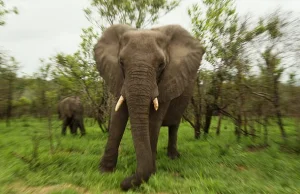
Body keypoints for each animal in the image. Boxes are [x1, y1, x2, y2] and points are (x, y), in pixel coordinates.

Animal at [94, 23, 205, 189]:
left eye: (161, 65)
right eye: (121, 62)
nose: (123, 182)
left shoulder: (168, 80)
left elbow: (154, 120)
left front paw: (151, 174)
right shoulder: (118, 78)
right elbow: (117, 118)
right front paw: (104, 172)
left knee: (174, 126)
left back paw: (173, 157)